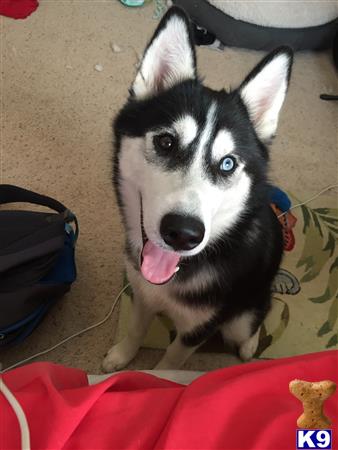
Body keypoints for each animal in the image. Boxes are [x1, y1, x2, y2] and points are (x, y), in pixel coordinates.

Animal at [101, 7, 292, 370]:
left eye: (228, 163)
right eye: (166, 142)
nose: (182, 233)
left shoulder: (200, 327)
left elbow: (171, 363)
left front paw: (156, 377)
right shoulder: (141, 293)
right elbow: (135, 329)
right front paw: (121, 356)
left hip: (242, 314)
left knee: (255, 319)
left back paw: (250, 346)